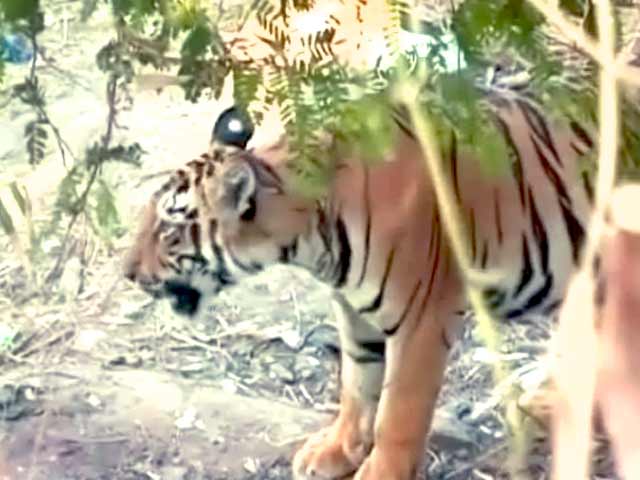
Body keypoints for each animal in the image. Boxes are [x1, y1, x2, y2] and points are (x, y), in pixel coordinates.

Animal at [123, 83, 595, 478]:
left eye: (168, 230)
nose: (127, 271)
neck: (311, 235)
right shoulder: (352, 307)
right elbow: (357, 382)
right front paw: (335, 451)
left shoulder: (422, 319)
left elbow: (397, 412)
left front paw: (380, 473)